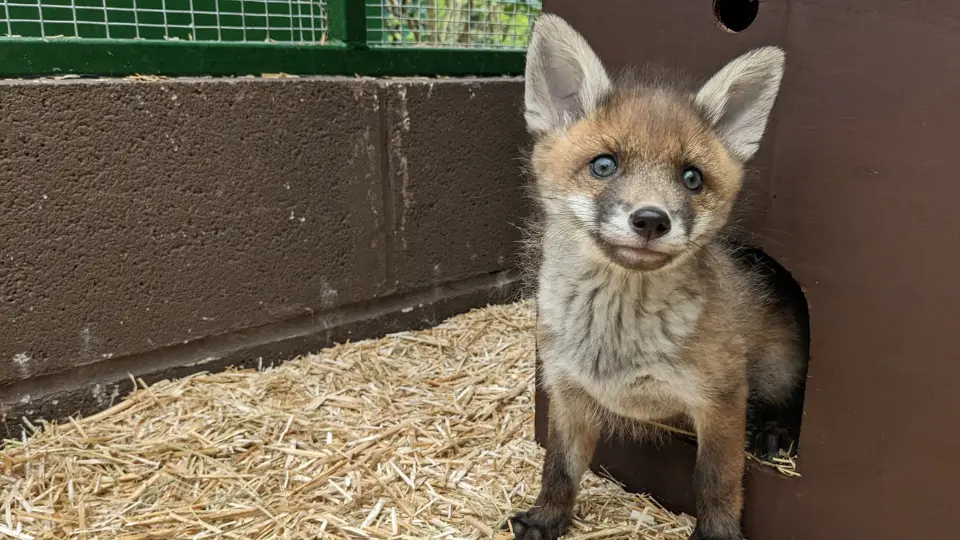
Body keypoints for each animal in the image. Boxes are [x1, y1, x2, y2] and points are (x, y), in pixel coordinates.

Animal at [507, 14, 808, 540]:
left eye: (692, 178)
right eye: (604, 165)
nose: (651, 220)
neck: (615, 341)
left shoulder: (721, 400)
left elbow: (717, 481)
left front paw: (717, 533)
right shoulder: (568, 393)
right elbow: (559, 469)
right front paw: (547, 519)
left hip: (778, 369)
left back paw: (775, 430)